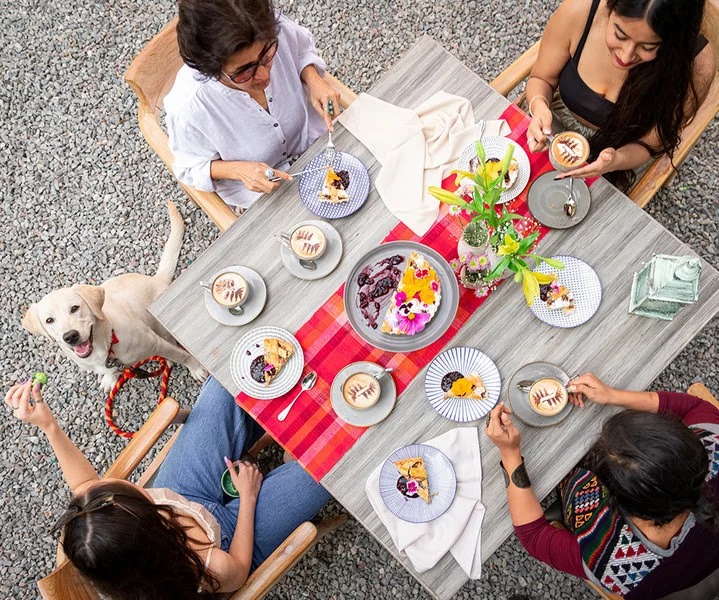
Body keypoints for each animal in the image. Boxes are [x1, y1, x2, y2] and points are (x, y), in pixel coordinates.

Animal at [21, 202, 205, 394]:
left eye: (75, 308)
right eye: (49, 320)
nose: (70, 336)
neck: (106, 347)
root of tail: (157, 278)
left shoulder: (155, 343)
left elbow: (181, 355)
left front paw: (195, 367)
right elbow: (110, 372)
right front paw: (110, 378)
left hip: (161, 327)